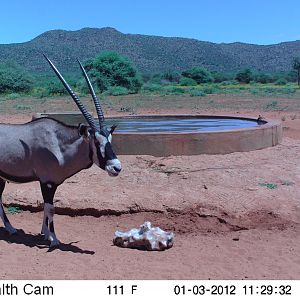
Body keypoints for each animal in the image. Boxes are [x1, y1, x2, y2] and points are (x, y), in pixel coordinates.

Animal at [0, 55, 122, 247]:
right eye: (96, 141)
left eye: (110, 139)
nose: (116, 167)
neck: (59, 144)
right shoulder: (47, 182)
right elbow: (50, 209)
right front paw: (54, 239)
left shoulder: (52, 184)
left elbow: (46, 207)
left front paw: (45, 234)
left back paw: (11, 228)